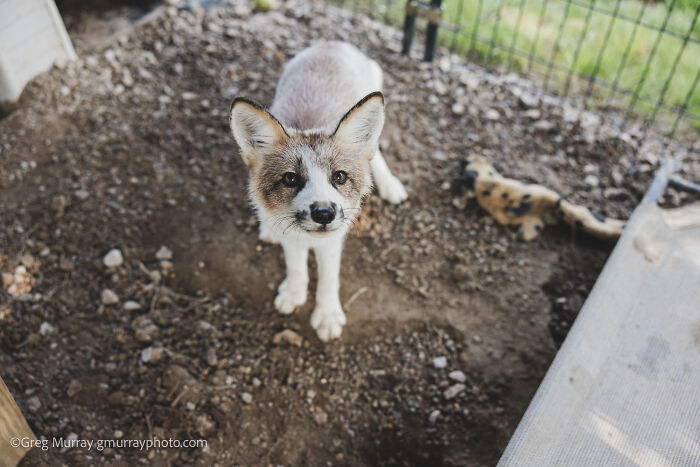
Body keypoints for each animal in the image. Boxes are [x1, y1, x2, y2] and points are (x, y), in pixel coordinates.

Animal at [229, 41, 407, 341]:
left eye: (340, 177)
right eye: (290, 179)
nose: (324, 213)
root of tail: (330, 43)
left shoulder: (333, 241)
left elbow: (329, 279)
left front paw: (327, 315)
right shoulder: (291, 236)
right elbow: (296, 266)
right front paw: (294, 292)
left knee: (376, 154)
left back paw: (390, 184)